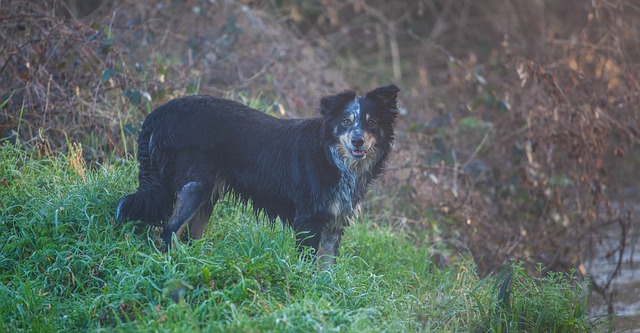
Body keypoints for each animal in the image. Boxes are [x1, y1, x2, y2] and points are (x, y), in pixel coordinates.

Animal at [114, 83, 396, 268]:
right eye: (346, 122)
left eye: (371, 123)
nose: (358, 141)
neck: (332, 156)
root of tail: (159, 114)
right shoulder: (309, 219)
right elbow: (307, 264)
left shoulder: (334, 222)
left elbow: (327, 270)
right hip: (196, 184)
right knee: (170, 230)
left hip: (208, 193)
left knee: (191, 235)